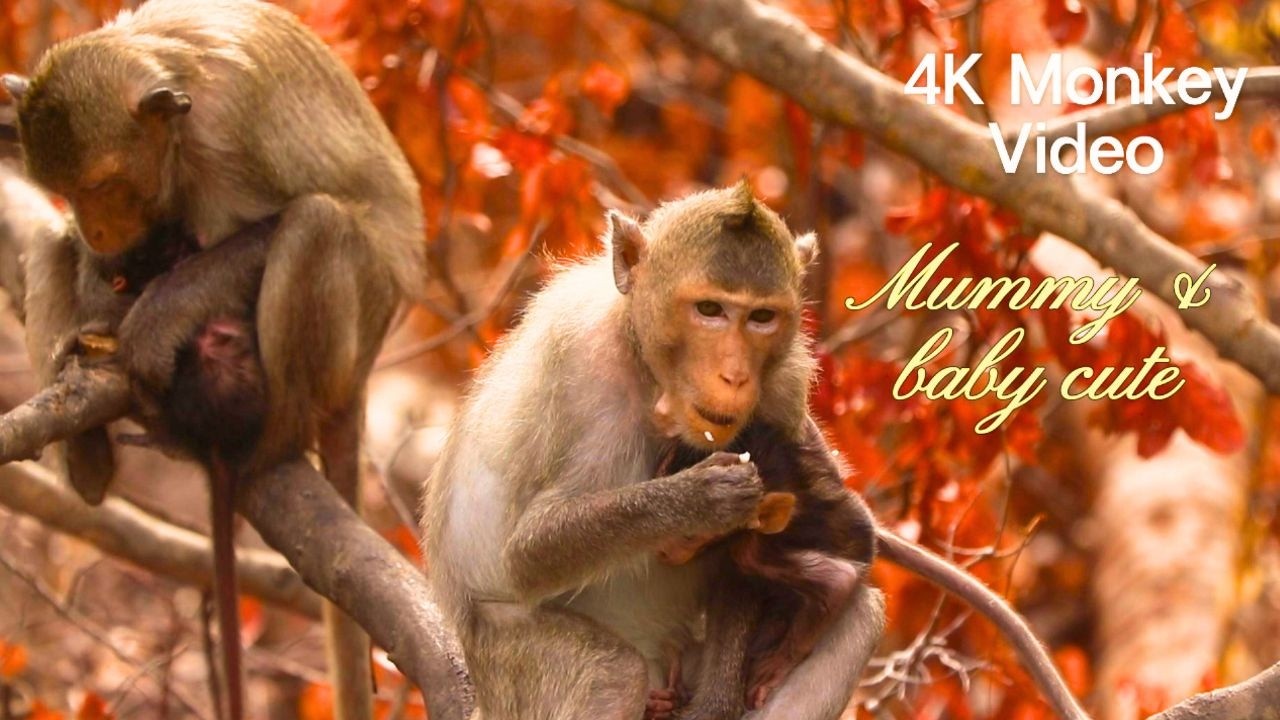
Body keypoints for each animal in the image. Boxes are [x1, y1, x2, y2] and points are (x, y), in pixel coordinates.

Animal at [1, 1, 428, 718]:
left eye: (102, 184)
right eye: (69, 189)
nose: (97, 228)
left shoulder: (225, 133)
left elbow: (256, 231)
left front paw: (153, 320)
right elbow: (94, 253)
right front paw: (102, 300)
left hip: (358, 324)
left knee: (315, 225)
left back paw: (265, 443)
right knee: (51, 243)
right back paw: (89, 463)